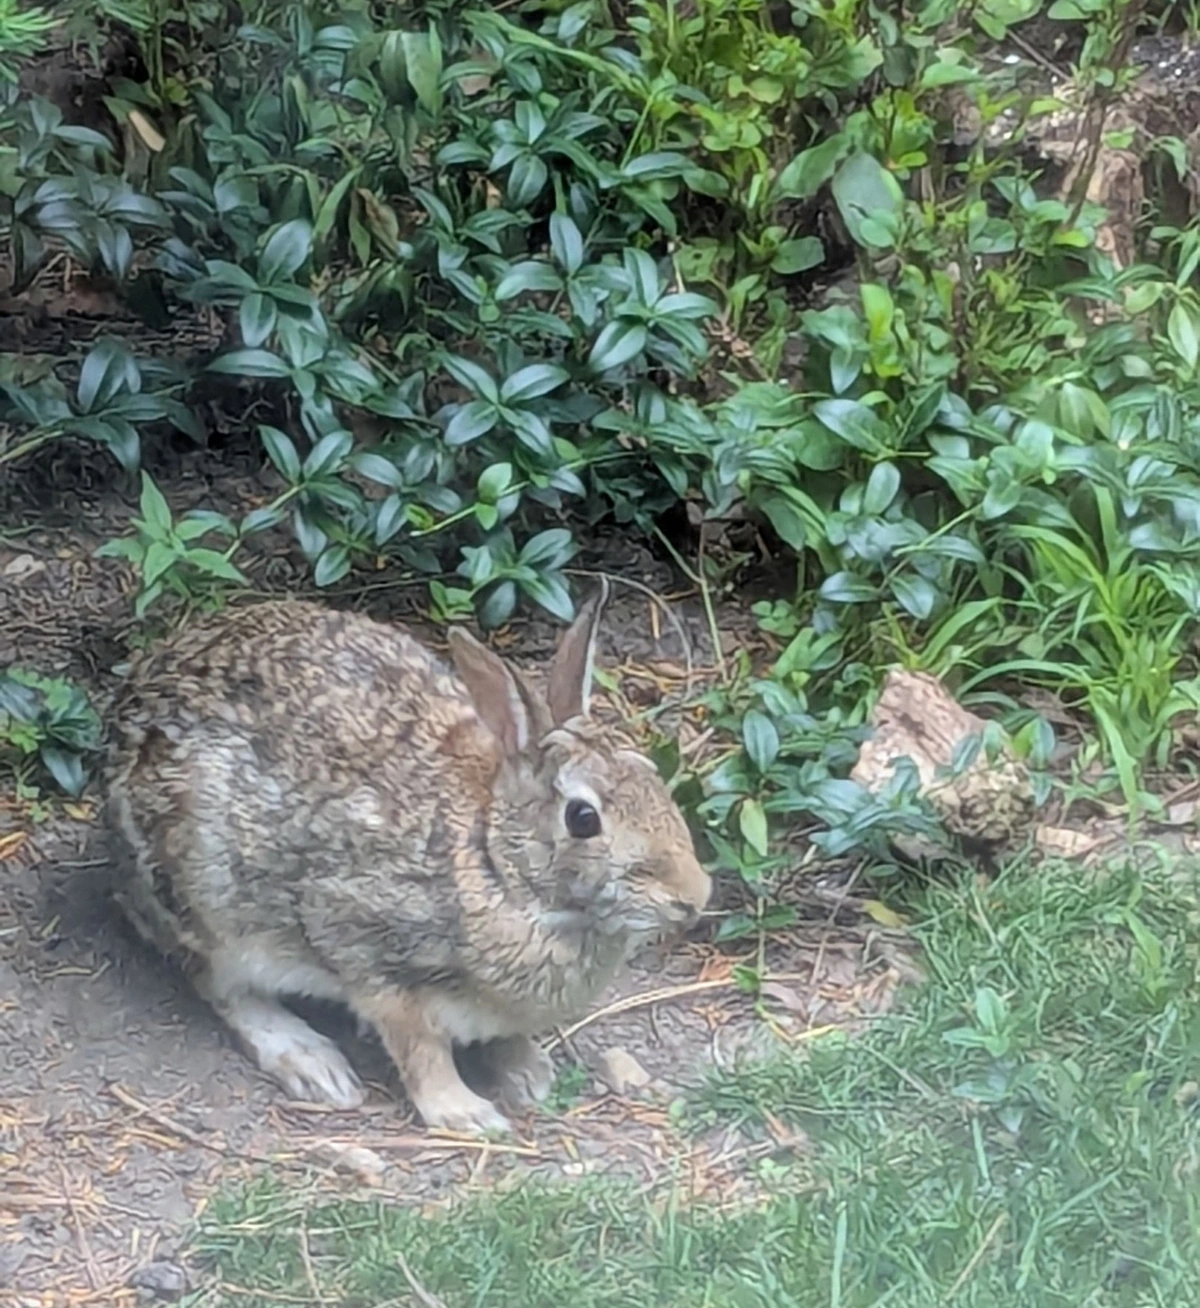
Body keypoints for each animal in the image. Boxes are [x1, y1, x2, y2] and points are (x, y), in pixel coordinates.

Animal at [104, 583, 711, 1135]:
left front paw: (529, 1073)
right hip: (205, 899)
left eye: (650, 774)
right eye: (584, 819)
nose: (694, 896)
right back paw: (311, 1062)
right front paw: (465, 1113)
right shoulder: (368, 953)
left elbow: (505, 1034)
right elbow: (419, 1047)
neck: (495, 866)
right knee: (218, 983)